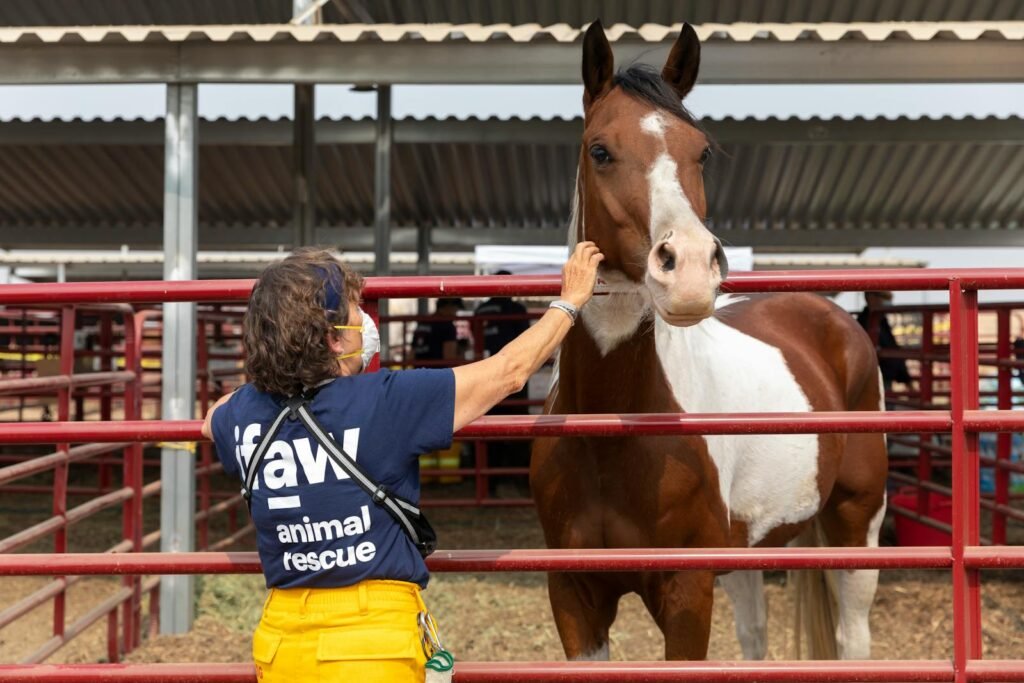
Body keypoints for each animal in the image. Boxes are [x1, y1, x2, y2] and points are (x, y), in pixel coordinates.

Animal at [530, 20, 888, 661]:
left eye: (700, 152)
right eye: (600, 150)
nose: (692, 268)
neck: (610, 430)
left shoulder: (688, 591)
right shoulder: (574, 597)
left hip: (857, 523)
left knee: (853, 637)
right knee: (754, 637)